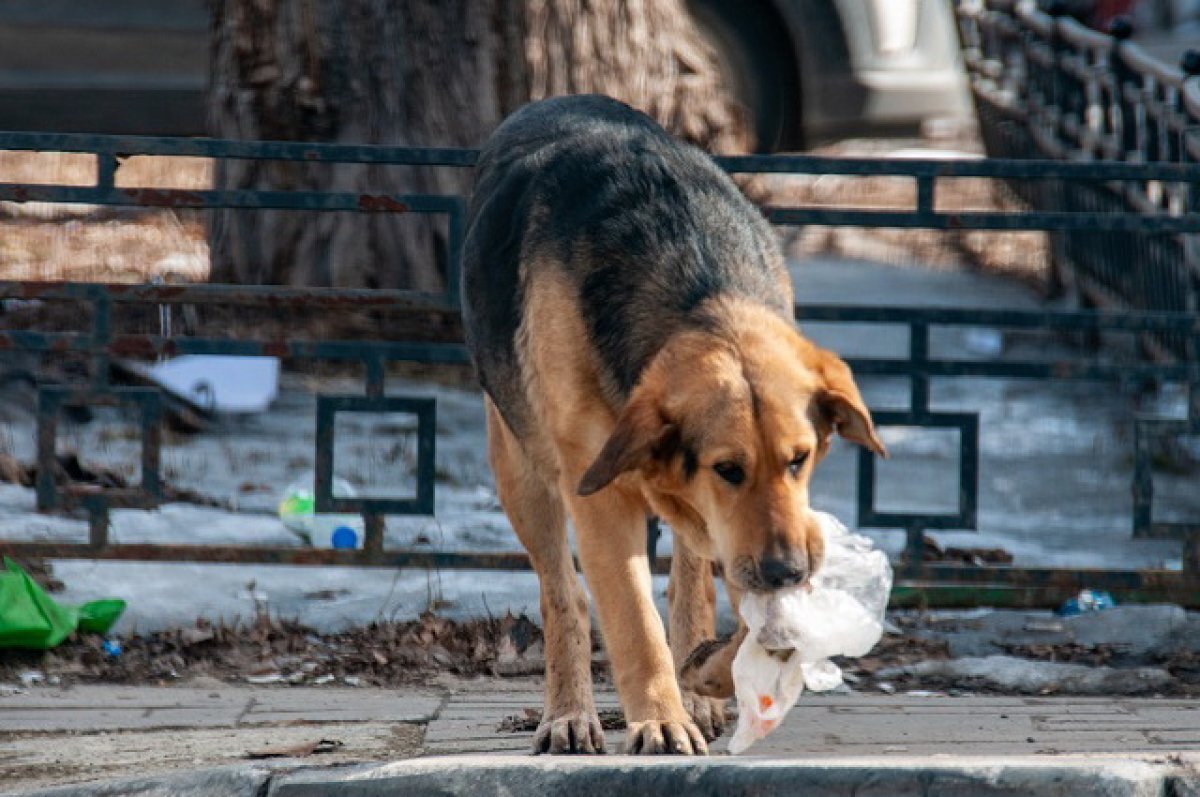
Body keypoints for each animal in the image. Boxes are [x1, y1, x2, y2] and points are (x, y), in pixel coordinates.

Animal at [463, 93, 888, 753]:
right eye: (727, 468)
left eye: (800, 459)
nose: (789, 571)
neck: (699, 290)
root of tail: (556, 99)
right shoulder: (604, 497)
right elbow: (634, 624)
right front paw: (661, 719)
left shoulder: (758, 529)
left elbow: (752, 615)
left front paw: (706, 673)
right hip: (520, 472)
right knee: (564, 595)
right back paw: (570, 713)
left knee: (691, 576)